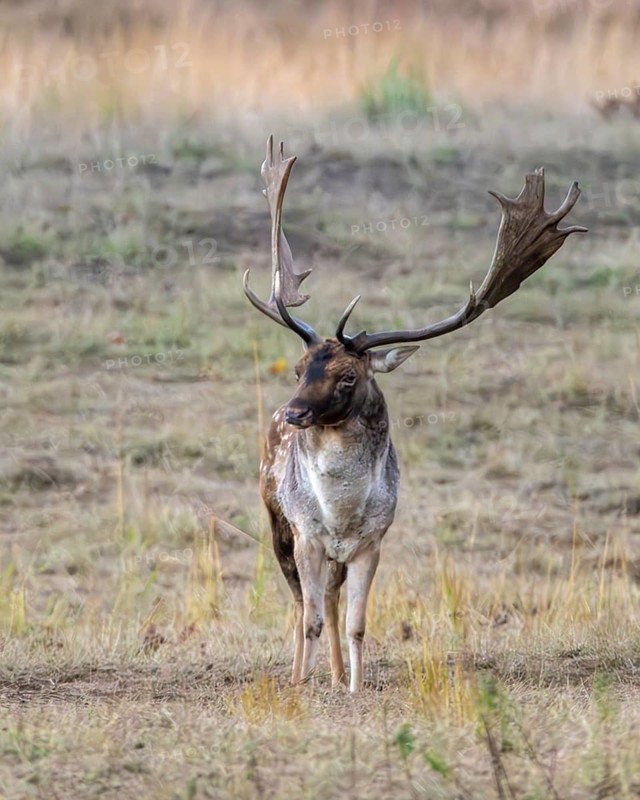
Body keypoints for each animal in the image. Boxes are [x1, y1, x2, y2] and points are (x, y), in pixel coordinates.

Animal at [243, 136, 586, 692]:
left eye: (348, 376)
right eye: (298, 367)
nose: (294, 412)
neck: (340, 513)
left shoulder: (373, 540)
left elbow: (357, 623)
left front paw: (353, 687)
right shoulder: (306, 534)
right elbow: (308, 618)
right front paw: (299, 686)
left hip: (332, 553)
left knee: (332, 601)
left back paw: (335, 675)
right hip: (276, 522)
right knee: (301, 605)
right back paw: (303, 672)